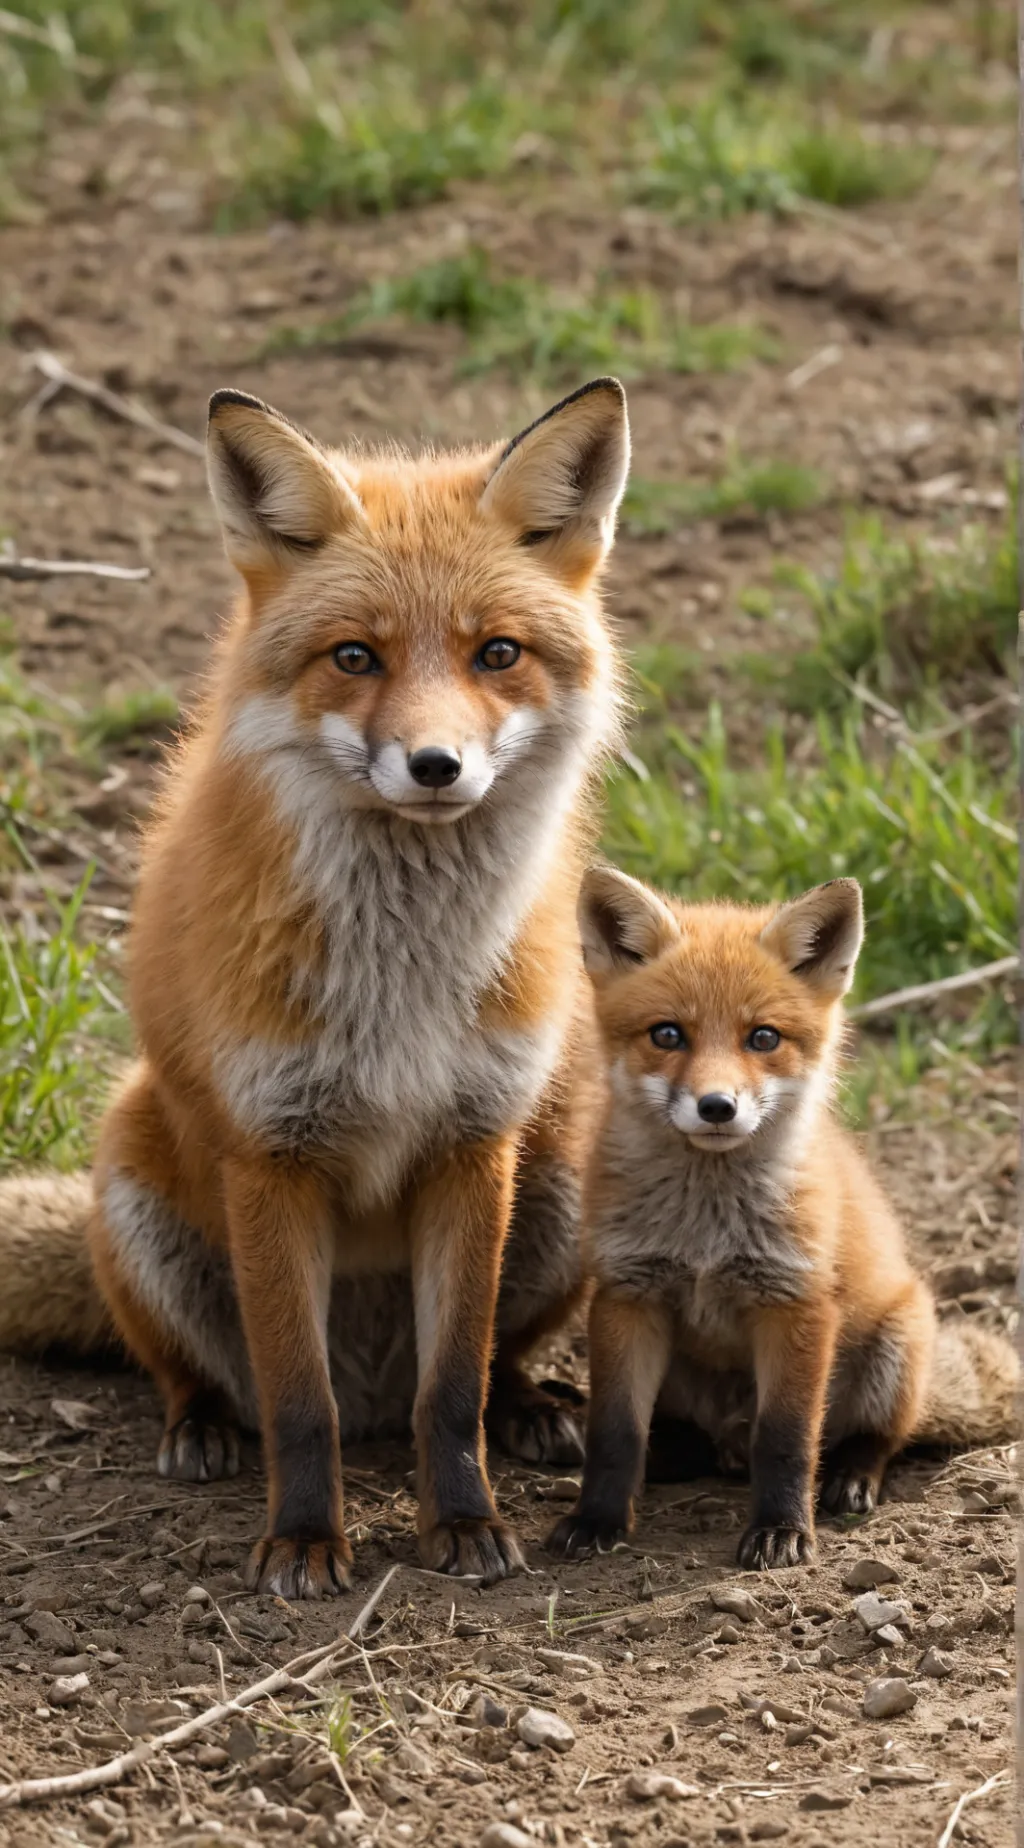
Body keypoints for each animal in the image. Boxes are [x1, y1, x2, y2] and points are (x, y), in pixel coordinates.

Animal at [0, 377, 631, 1598]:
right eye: (354, 657)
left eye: (496, 653)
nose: (435, 766)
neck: (404, 980)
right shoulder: (270, 1158)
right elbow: (299, 1402)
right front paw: (301, 1540)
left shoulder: (472, 1145)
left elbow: (453, 1393)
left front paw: (465, 1525)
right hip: (138, 1190)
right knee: (211, 1379)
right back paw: (198, 1431)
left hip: (562, 1178)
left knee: (478, 1372)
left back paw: (530, 1408)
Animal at [547, 868, 1018, 1570]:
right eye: (667, 1034)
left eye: (762, 1037)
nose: (717, 1106)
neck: (707, 1231)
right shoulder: (627, 1296)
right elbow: (614, 1431)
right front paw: (597, 1518)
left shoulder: (795, 1302)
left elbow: (787, 1437)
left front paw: (781, 1529)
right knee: (689, 1442)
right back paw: (674, 1457)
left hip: (896, 1351)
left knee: (876, 1438)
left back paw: (849, 1477)